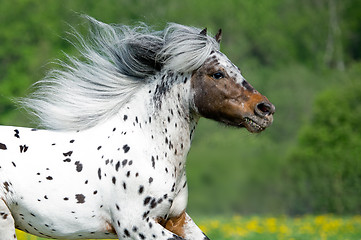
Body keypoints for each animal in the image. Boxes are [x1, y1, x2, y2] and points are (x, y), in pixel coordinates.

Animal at [0, 15, 272, 239]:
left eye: (237, 69)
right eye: (217, 74)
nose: (265, 110)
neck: (148, 146)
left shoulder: (177, 219)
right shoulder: (136, 226)